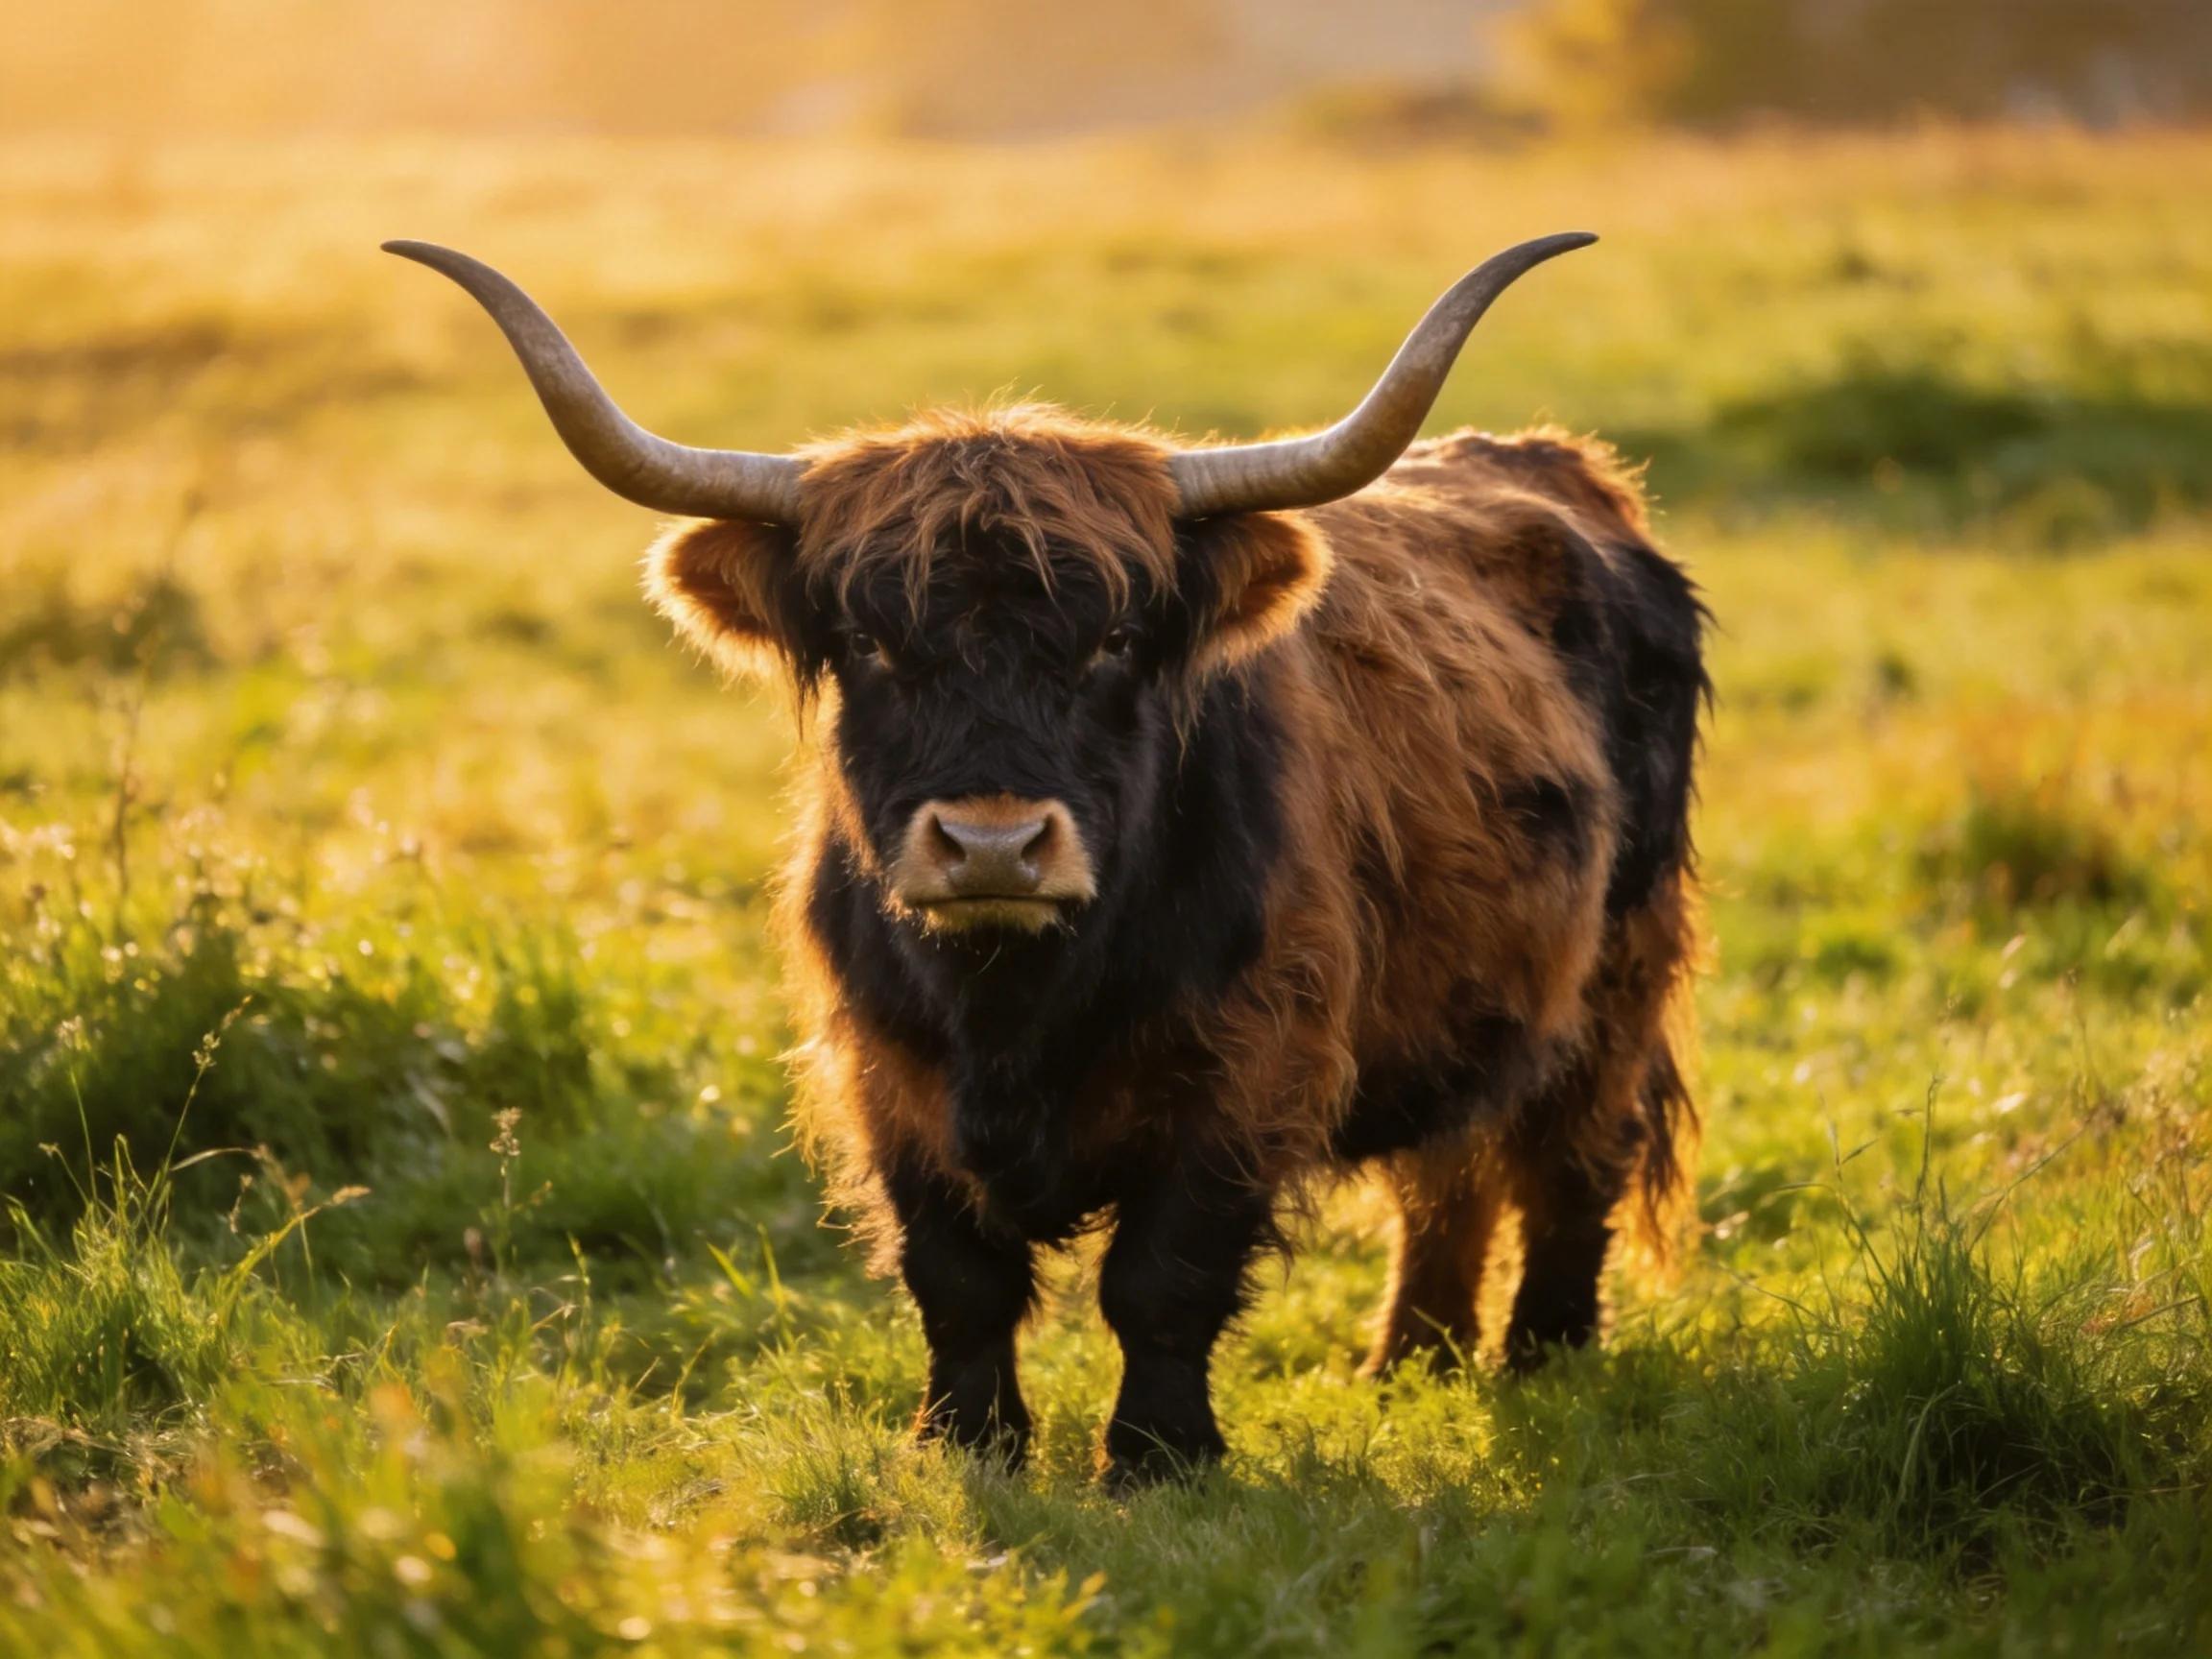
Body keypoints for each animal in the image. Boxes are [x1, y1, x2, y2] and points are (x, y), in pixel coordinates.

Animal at [388, 233, 1708, 1483]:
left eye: (1116, 638)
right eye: (869, 641)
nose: (991, 842)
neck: (1014, 1009)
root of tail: (1558, 469)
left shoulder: (1249, 1065)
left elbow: (1163, 1276)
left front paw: (1159, 1458)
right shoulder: (886, 1075)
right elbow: (957, 1278)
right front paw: (965, 1444)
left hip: (1622, 967)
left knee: (1569, 1158)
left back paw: (1546, 1361)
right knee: (1450, 1173)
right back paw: (1408, 1366)